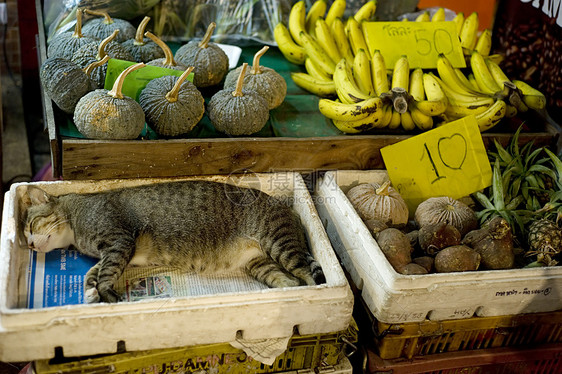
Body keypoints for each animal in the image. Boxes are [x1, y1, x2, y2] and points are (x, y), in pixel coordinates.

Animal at [20, 181, 324, 304]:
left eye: (30, 226)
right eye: (25, 237)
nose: (31, 246)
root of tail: (289, 208)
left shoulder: (119, 242)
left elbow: (106, 273)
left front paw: (105, 294)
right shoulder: (113, 252)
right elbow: (91, 273)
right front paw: (90, 292)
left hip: (280, 244)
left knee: (310, 276)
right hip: (262, 265)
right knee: (291, 281)